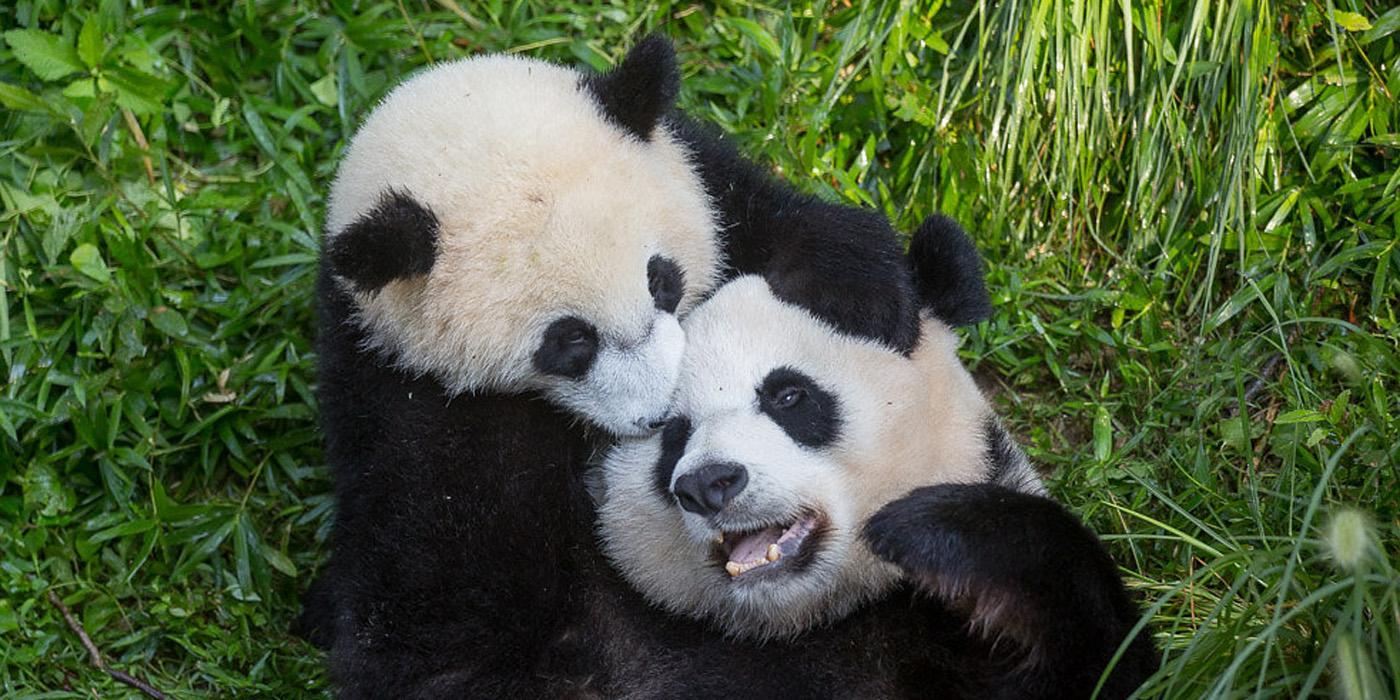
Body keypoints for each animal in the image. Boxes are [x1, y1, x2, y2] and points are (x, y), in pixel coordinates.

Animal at [301, 32, 924, 694]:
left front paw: (868, 303)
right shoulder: (409, 406)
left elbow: (792, 224)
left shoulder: (709, 181)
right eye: (570, 342)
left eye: (662, 282)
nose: (657, 416)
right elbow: (443, 614)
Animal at [585, 215, 1153, 697]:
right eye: (674, 434)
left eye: (788, 396)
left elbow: (1110, 662)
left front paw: (928, 529)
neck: (813, 617)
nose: (708, 483)